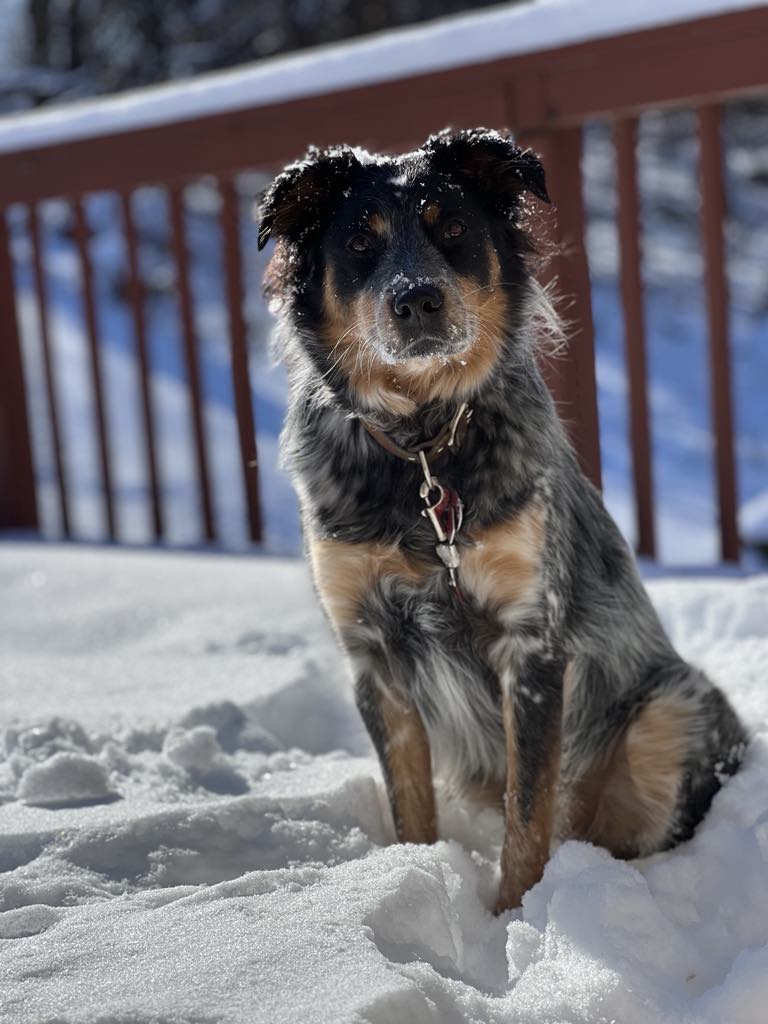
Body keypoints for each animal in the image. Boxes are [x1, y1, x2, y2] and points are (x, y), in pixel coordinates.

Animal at [257, 128, 745, 913]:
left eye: (453, 228)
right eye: (359, 241)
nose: (417, 299)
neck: (424, 447)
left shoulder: (534, 645)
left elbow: (529, 808)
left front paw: (515, 916)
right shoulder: (374, 655)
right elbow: (410, 807)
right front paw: (422, 875)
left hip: (669, 713)